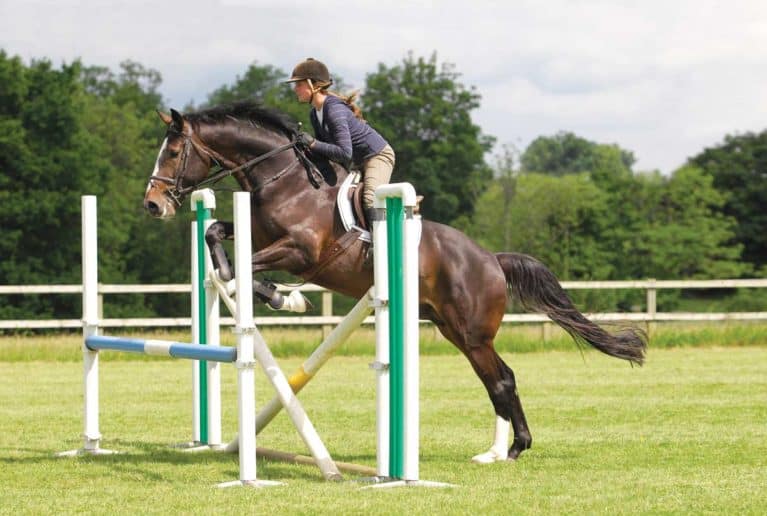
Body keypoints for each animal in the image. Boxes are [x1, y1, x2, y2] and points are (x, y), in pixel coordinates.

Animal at [143, 101, 647, 463]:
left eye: (174, 152)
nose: (153, 204)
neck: (282, 182)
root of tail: (491, 259)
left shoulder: (300, 253)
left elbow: (248, 270)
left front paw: (285, 300)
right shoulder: (257, 236)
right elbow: (214, 234)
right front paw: (259, 290)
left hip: (472, 332)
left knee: (502, 379)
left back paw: (514, 447)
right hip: (453, 330)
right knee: (497, 379)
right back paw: (496, 450)